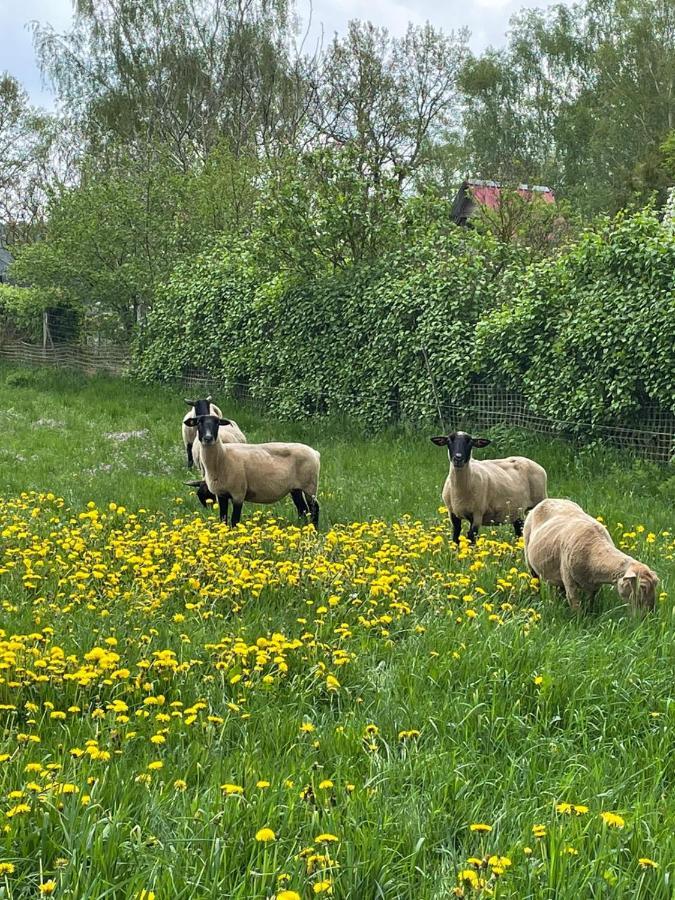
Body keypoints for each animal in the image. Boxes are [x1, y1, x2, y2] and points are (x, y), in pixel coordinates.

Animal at [185, 414, 322, 528]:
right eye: (199, 422)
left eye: (217, 423)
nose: (208, 438)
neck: (223, 457)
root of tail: (315, 453)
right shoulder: (221, 494)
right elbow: (223, 519)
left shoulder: (238, 493)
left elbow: (234, 520)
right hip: (295, 488)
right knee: (303, 509)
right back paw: (303, 528)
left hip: (310, 485)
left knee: (314, 508)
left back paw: (314, 529)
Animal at [524, 496, 660, 616]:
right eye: (642, 587)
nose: (649, 614)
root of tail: (548, 499)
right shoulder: (569, 580)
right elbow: (575, 605)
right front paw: (579, 621)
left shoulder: (593, 586)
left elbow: (591, 602)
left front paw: (590, 614)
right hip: (528, 556)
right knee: (535, 579)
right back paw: (536, 595)